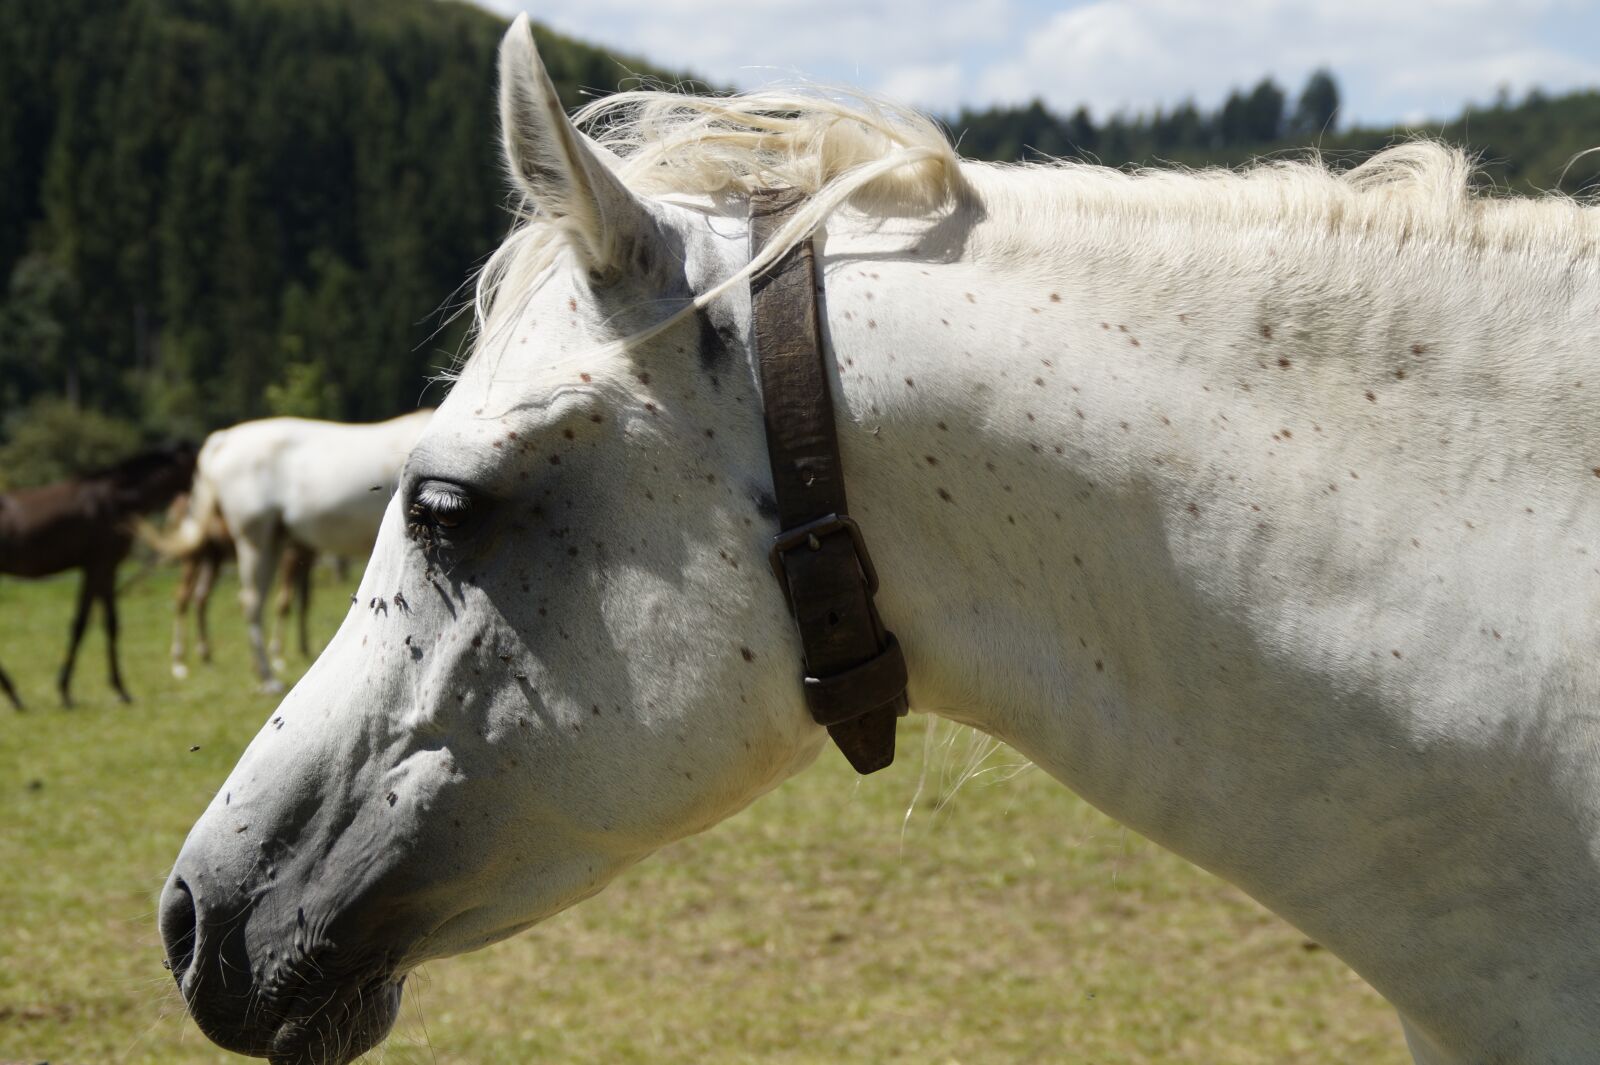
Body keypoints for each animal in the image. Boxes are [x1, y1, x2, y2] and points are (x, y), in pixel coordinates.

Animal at [0, 442, 196, 708]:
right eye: (199, 464)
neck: (119, 500)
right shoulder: (98, 566)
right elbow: (82, 624)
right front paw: (67, 690)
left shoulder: (106, 570)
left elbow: (109, 623)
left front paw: (118, 689)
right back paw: (13, 694)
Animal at [159, 491, 320, 680]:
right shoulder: (291, 554)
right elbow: (284, 602)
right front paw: (277, 656)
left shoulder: (308, 556)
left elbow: (304, 601)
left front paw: (304, 649)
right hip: (194, 558)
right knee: (182, 598)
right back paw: (179, 663)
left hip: (212, 559)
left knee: (200, 598)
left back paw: (206, 657)